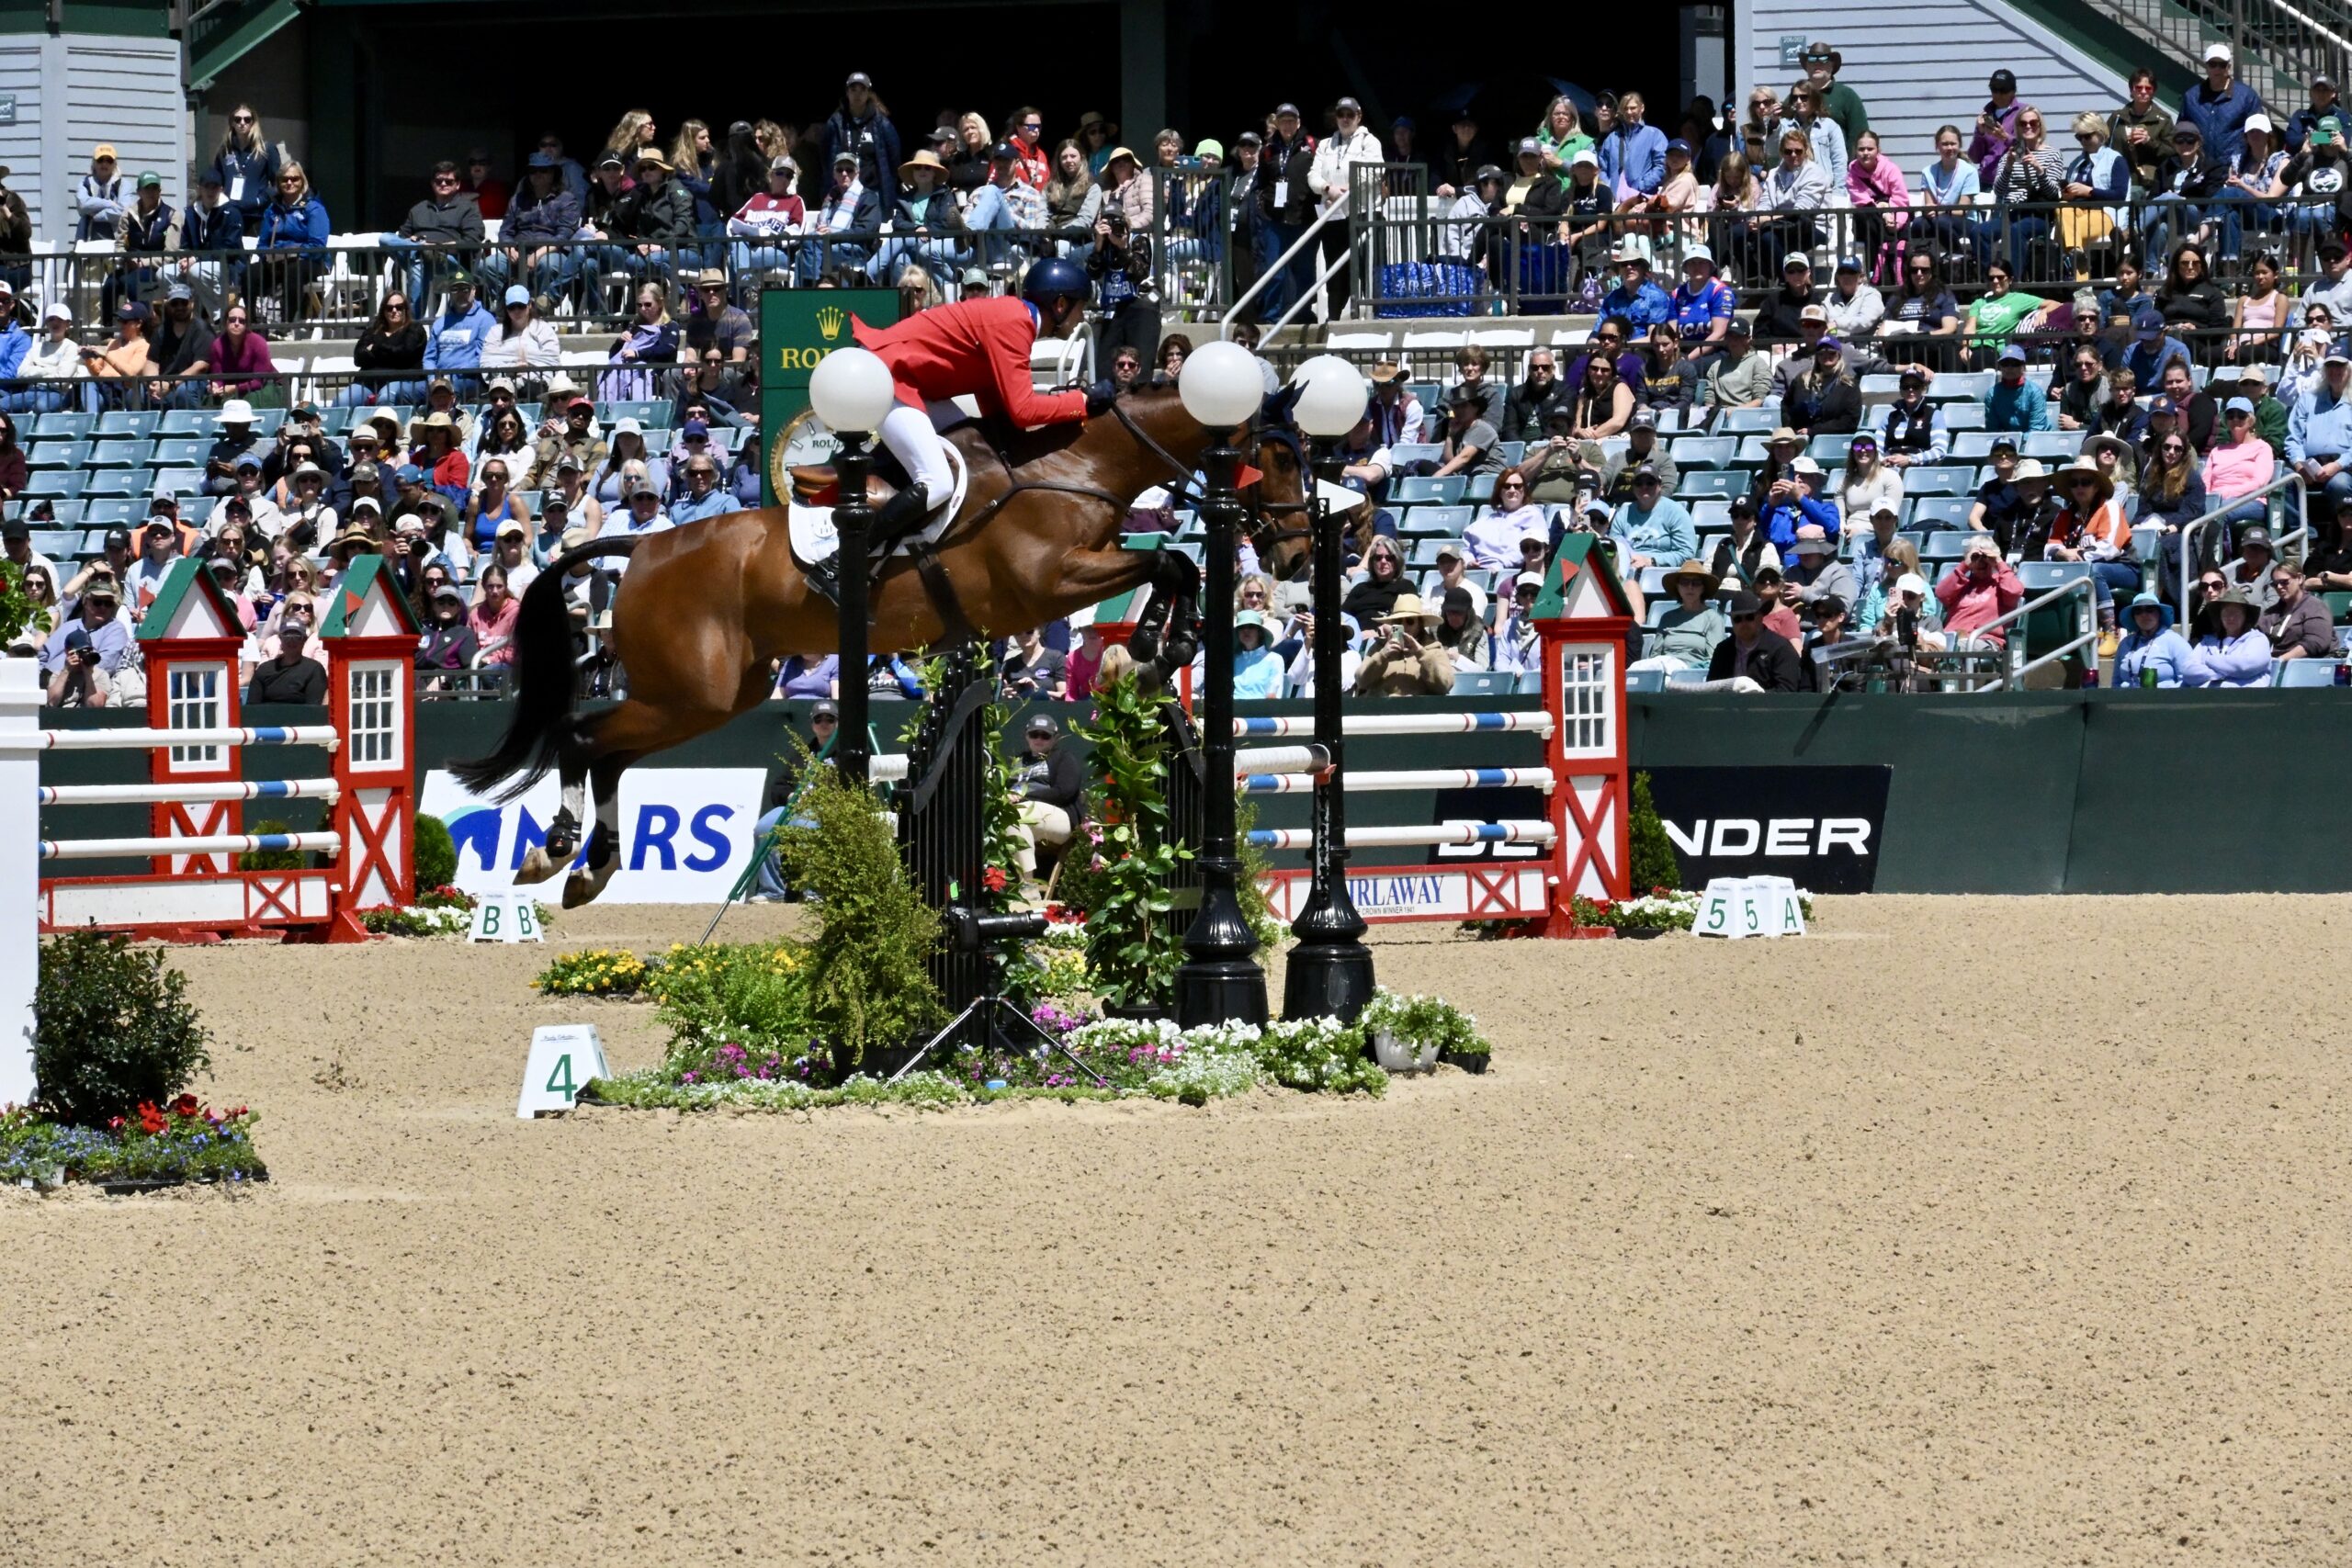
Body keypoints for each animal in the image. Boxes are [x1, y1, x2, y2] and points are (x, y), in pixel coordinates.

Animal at [453, 386, 1314, 908]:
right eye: (1275, 455)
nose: (1298, 556)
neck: (1074, 466)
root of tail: (643, 549)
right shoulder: (1048, 581)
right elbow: (1171, 561)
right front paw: (1159, 639)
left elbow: (1175, 561)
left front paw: (1154, 643)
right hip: (690, 690)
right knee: (582, 737)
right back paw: (556, 852)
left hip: (713, 695)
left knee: (607, 752)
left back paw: (589, 866)